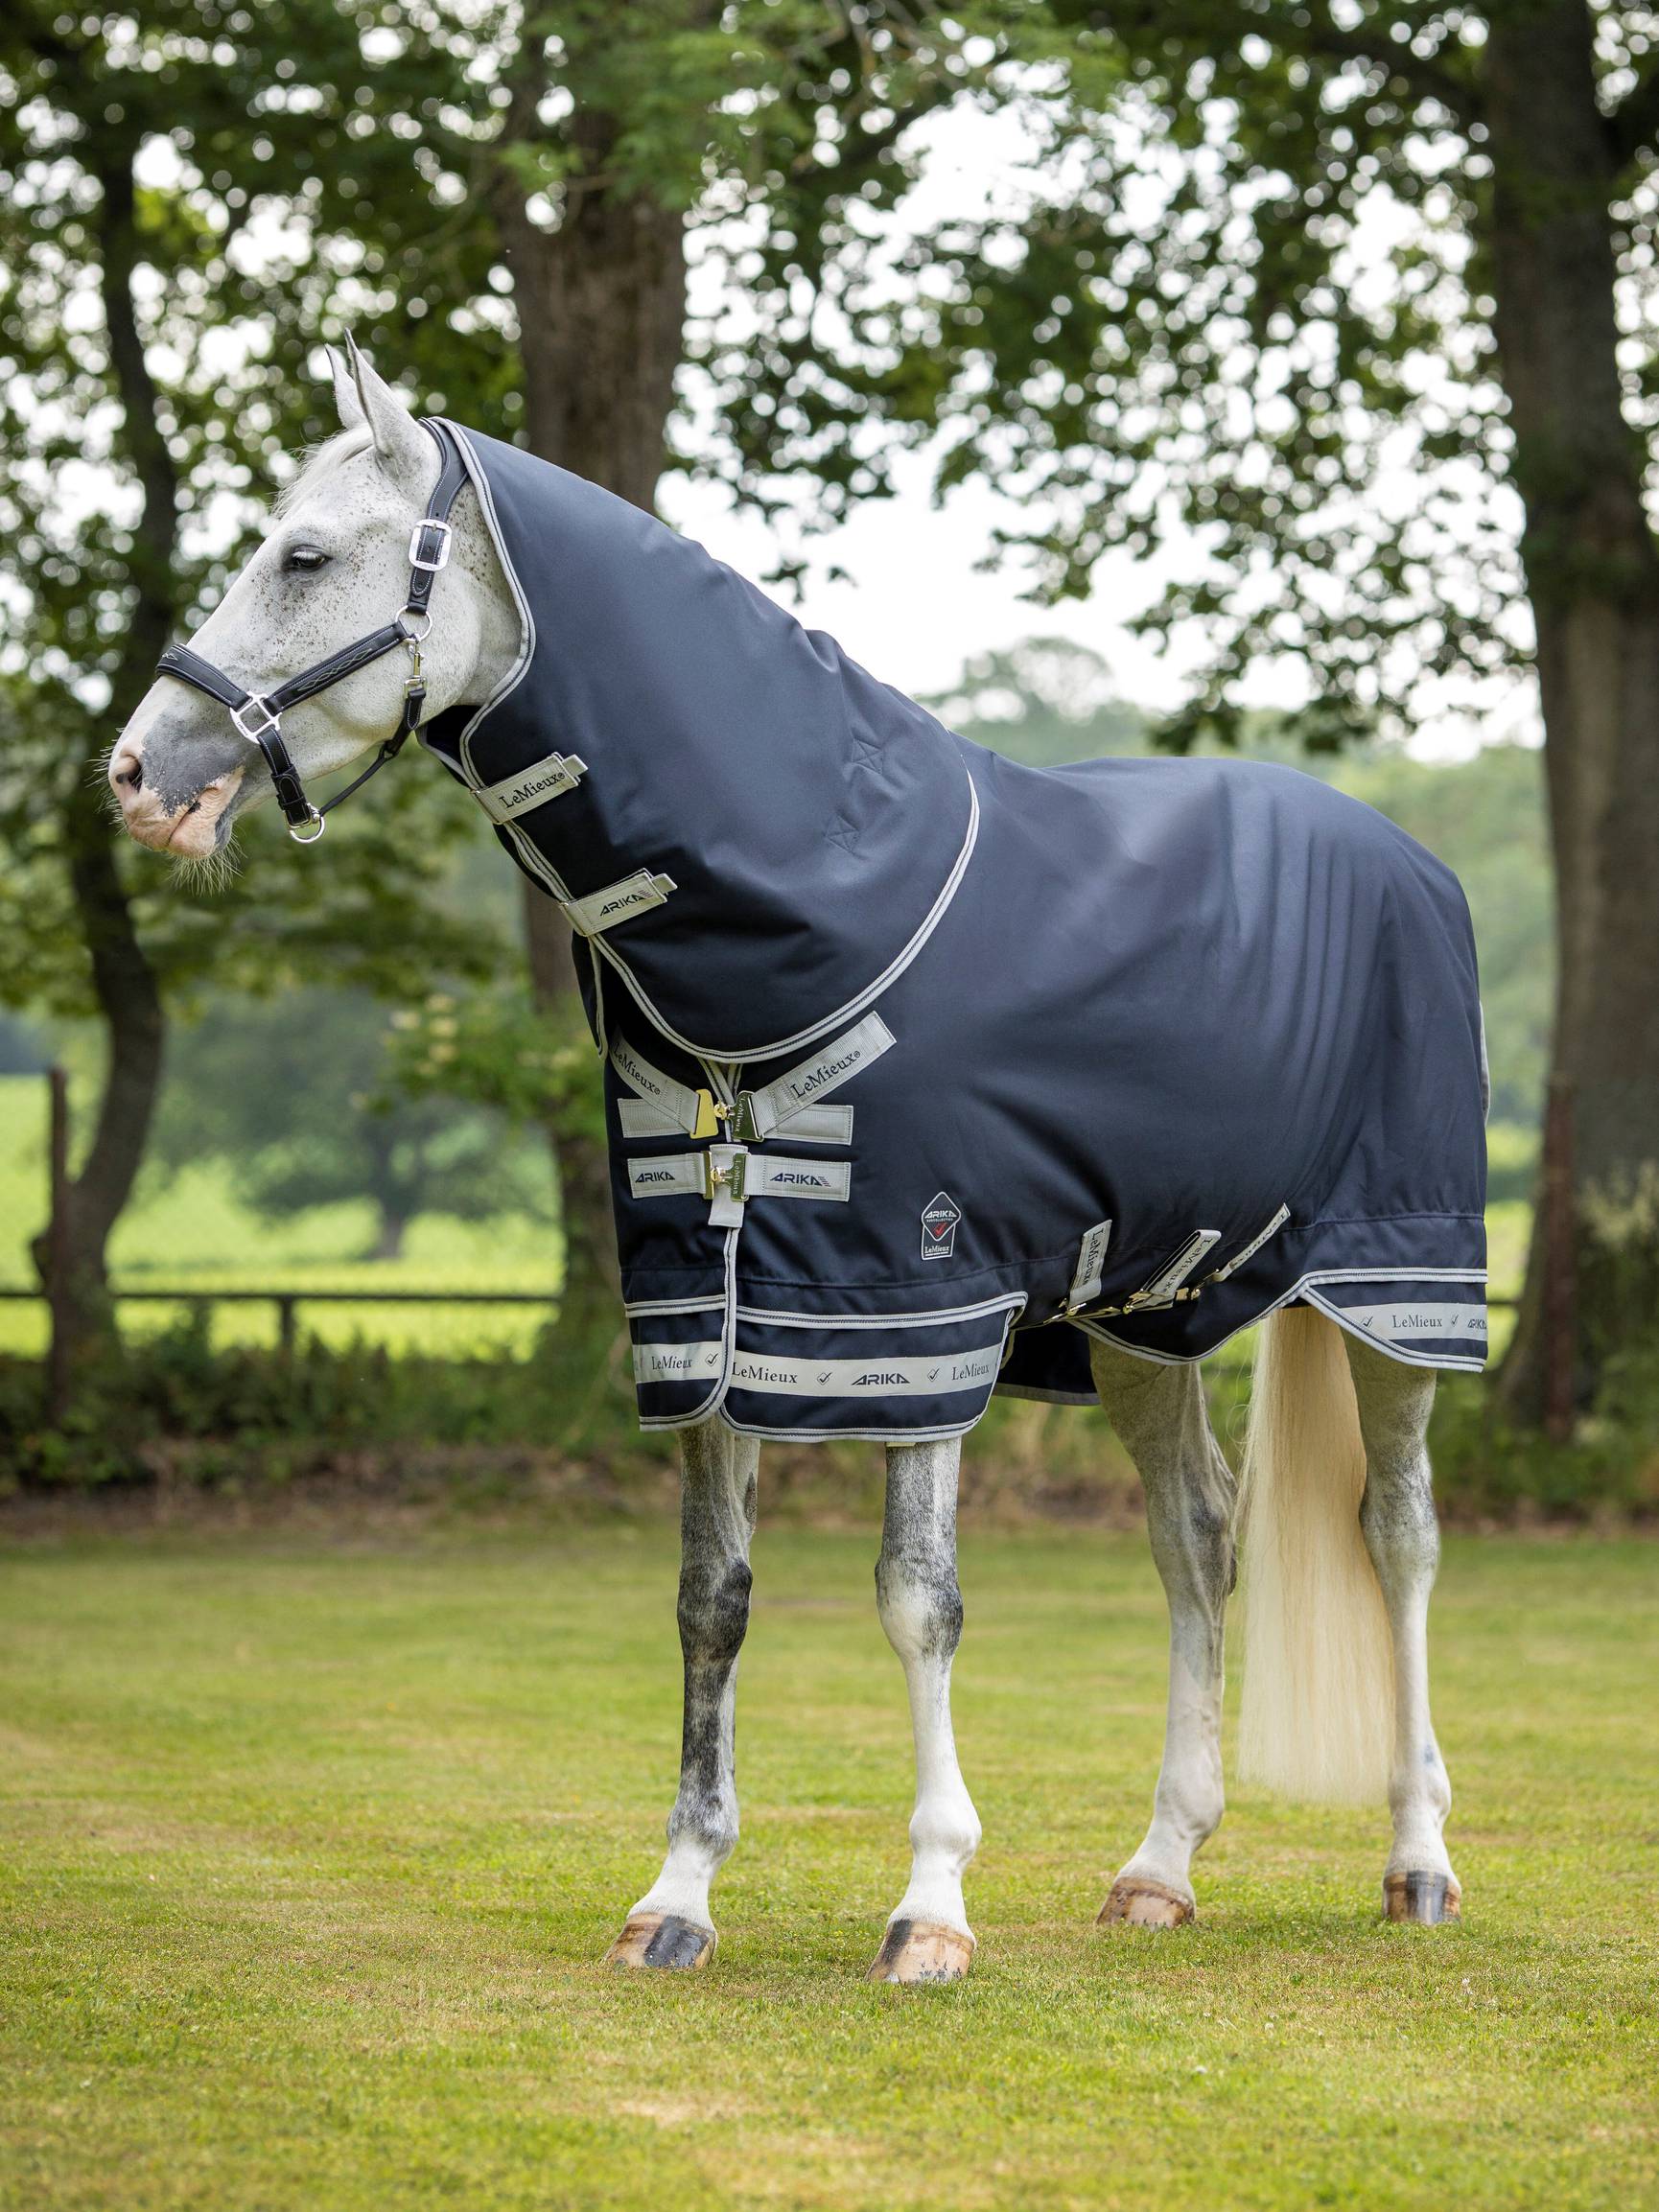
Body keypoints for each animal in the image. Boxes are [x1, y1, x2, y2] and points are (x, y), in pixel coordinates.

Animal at [108, 342, 1482, 1982]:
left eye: (304, 556)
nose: (140, 772)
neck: (812, 912)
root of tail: (1409, 860)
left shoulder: (916, 1306)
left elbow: (917, 1601)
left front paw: (931, 1903)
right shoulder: (707, 1311)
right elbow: (711, 1599)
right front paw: (676, 1895)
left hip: (1394, 1294)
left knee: (1398, 1540)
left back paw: (1416, 1857)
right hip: (1144, 1312)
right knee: (1196, 1538)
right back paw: (1159, 1864)